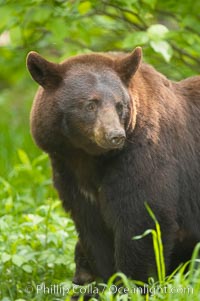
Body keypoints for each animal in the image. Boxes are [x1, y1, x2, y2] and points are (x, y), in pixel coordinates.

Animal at [27, 47, 200, 284]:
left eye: (120, 105)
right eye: (90, 104)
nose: (116, 135)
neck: (88, 158)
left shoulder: (141, 159)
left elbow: (142, 220)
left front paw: (131, 282)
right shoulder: (68, 173)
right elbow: (93, 231)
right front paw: (106, 280)